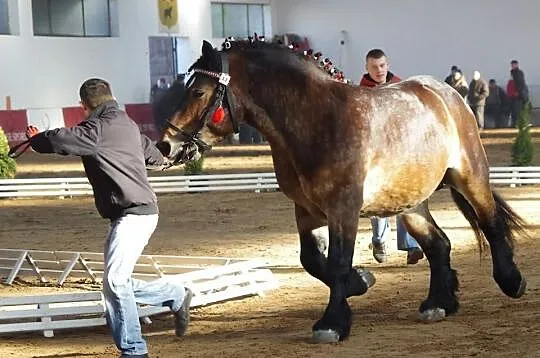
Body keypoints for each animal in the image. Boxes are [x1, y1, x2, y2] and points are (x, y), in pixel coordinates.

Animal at [156, 39, 528, 344]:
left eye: (198, 92)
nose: (165, 144)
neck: (317, 121)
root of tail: (446, 95)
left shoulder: (343, 208)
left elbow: (336, 261)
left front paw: (332, 323)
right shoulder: (306, 211)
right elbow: (311, 259)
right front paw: (361, 281)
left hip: (470, 175)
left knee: (490, 223)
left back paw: (511, 282)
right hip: (409, 201)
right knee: (439, 244)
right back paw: (439, 303)